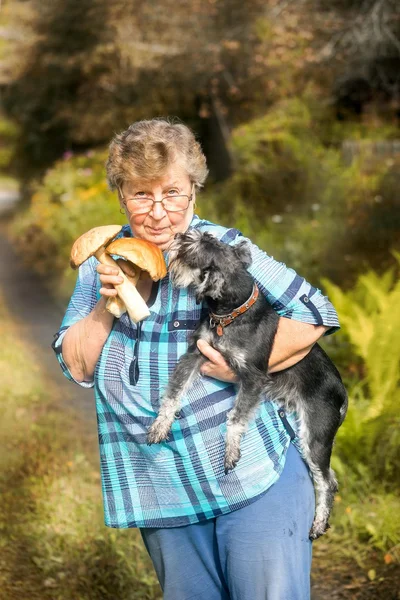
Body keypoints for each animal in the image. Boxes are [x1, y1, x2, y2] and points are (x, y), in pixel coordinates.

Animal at [147, 229, 346, 540]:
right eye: (201, 236)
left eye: (190, 248)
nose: (179, 235)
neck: (231, 314)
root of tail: (342, 392)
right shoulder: (196, 353)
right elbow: (174, 393)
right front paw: (160, 426)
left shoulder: (253, 379)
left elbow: (235, 419)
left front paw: (230, 452)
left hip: (315, 435)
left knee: (326, 481)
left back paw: (318, 524)